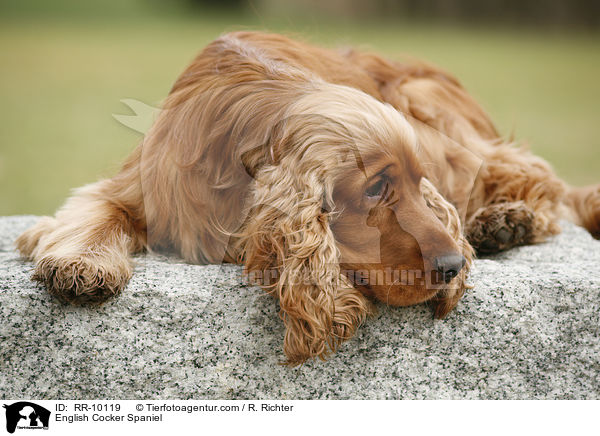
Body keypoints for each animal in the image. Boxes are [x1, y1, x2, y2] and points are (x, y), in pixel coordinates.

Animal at [15, 31, 600, 364]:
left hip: (429, 108)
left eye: (417, 183)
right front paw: (81, 263)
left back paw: (506, 220)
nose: (454, 266)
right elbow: (94, 213)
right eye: (375, 189)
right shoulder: (139, 185)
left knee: (536, 176)